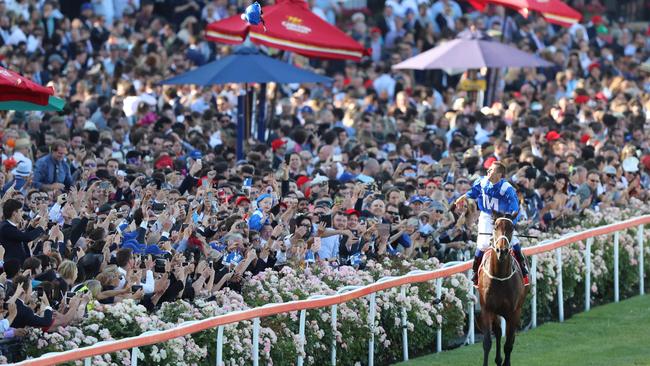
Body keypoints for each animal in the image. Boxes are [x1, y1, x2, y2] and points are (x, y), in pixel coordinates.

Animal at [476, 213, 528, 366]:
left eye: (512, 227)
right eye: (495, 227)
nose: (502, 251)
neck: (499, 276)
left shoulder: (513, 313)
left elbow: (509, 344)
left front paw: (506, 362)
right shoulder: (487, 309)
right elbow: (487, 342)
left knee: (509, 338)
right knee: (498, 332)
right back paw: (498, 359)